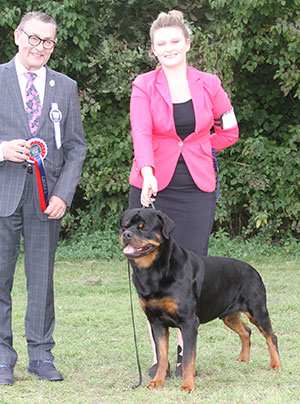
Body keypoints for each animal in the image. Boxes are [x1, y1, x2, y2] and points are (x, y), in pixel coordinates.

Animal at [119, 208, 282, 392]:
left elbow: (188, 359)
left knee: (271, 336)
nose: (126, 234)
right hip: (229, 315)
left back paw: (276, 365)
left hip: (257, 310)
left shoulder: (189, 322)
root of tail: (254, 270)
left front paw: (187, 385)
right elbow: (161, 357)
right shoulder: (156, 322)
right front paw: (157, 381)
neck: (154, 271)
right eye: (124, 226)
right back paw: (243, 358)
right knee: (246, 331)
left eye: (143, 227)